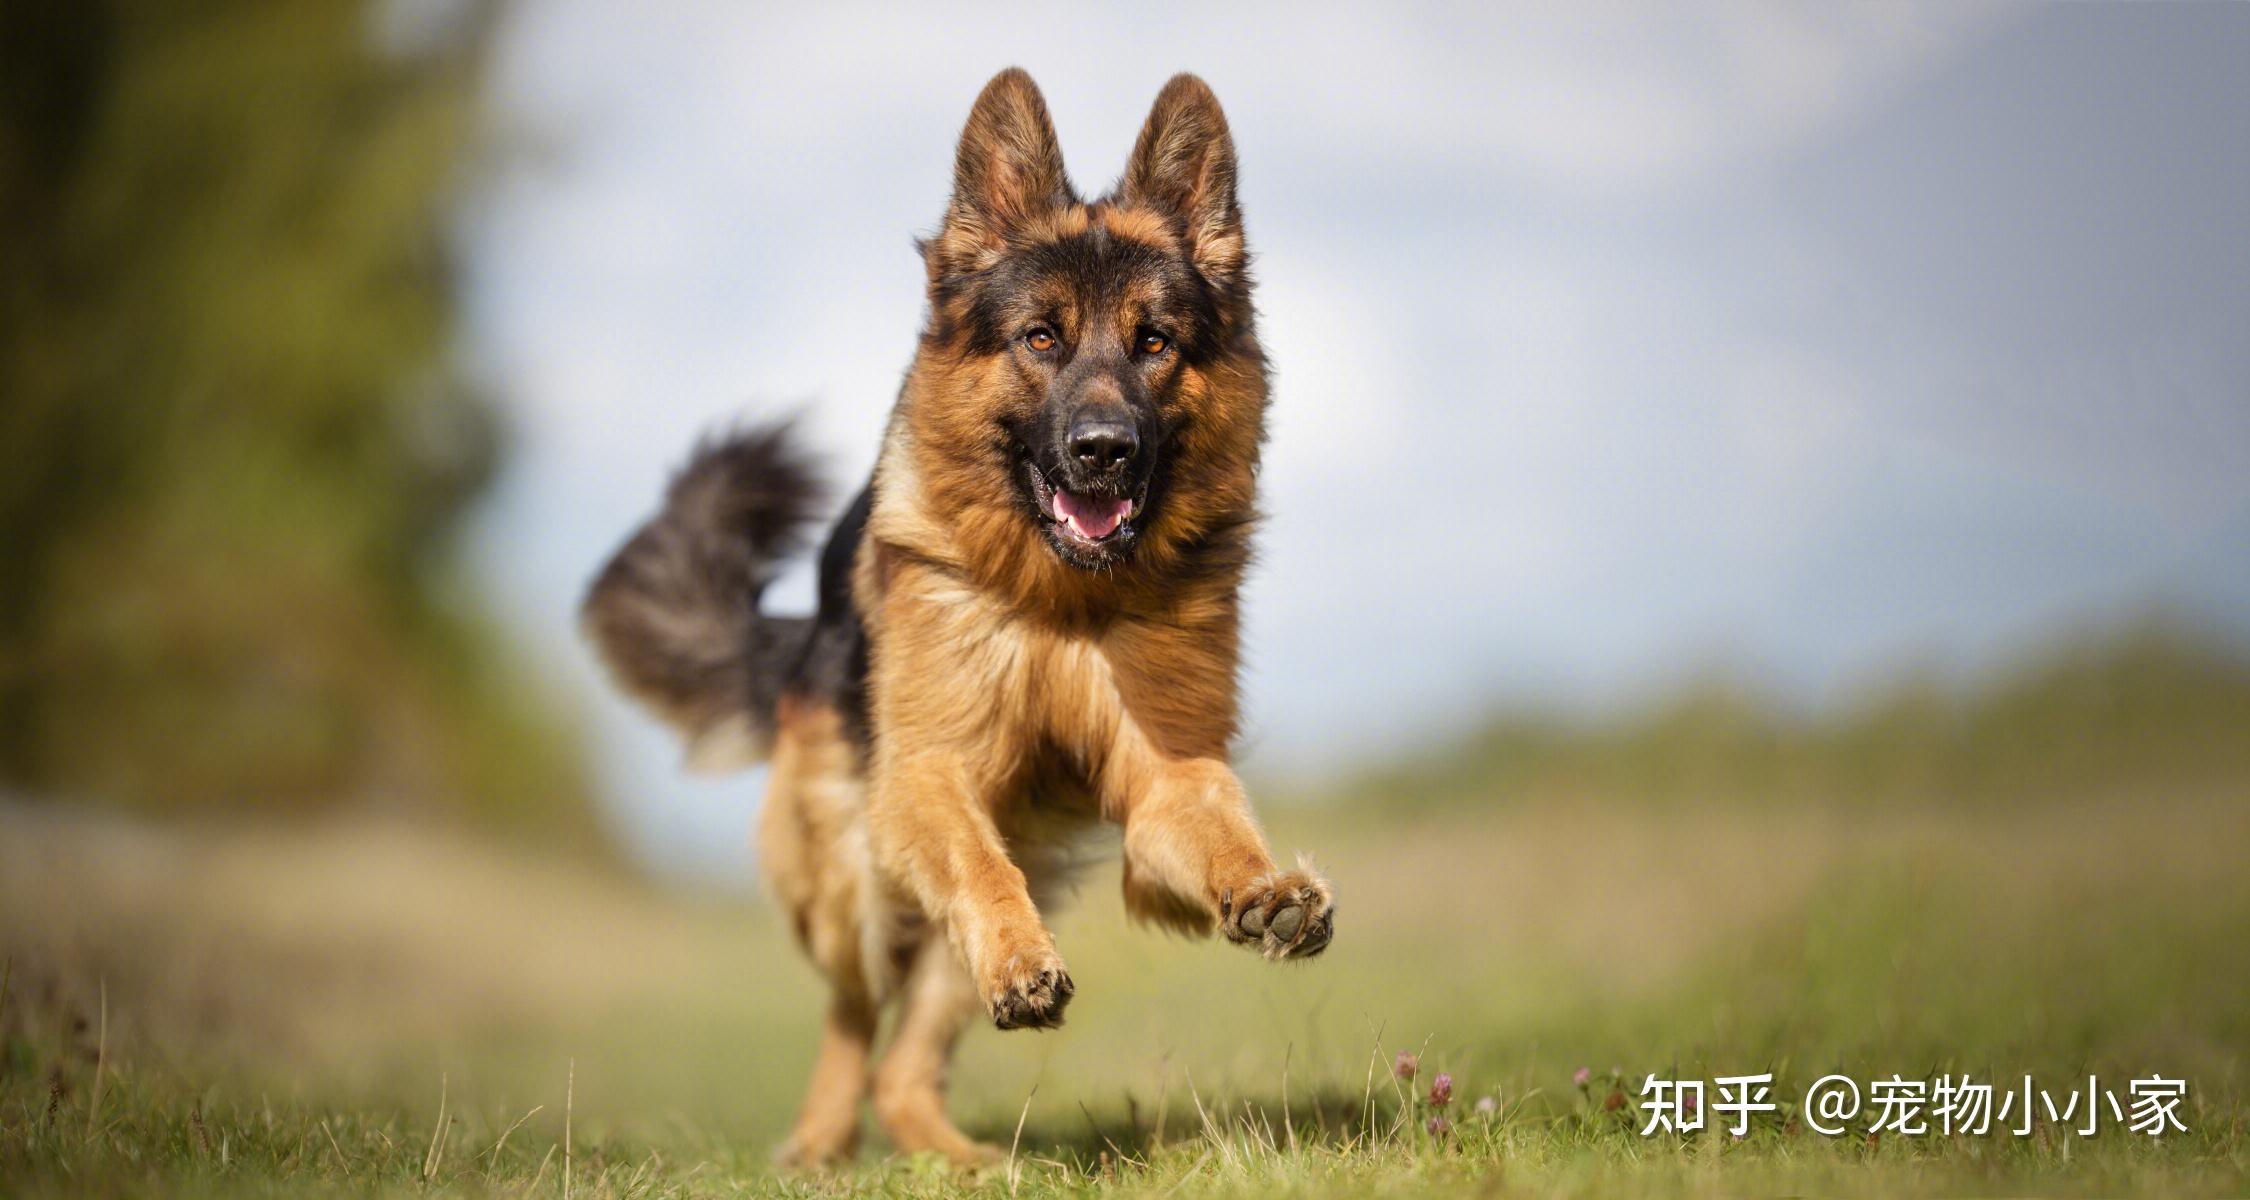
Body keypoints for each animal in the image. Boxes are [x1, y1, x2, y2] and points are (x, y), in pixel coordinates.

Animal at [576, 70, 1332, 1161]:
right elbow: (976, 867)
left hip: (954, 932)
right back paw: (819, 1142)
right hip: (852, 885)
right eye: (1041, 338)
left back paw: (964, 1160)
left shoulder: (1168, 781)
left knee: (904, 1066)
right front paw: (1017, 959)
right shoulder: (926, 776)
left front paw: (1269, 892)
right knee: (854, 1011)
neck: (1064, 600)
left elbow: (1221, 834)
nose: (1104, 449)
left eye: (1154, 343)